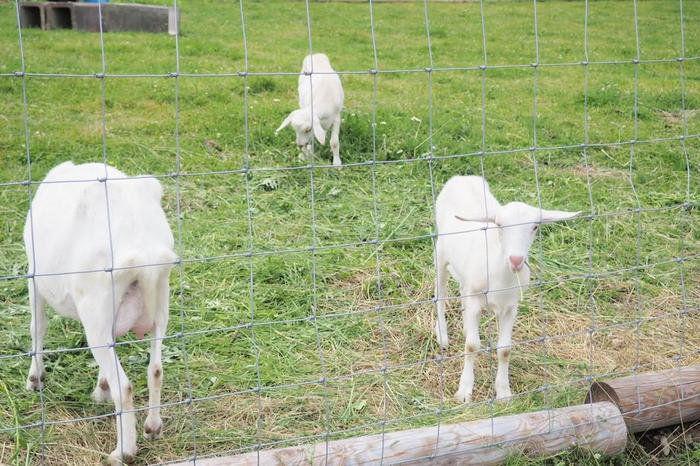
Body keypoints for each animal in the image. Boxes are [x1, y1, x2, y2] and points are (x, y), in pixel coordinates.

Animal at [24, 162, 178, 464]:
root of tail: (143, 255)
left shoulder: (34, 277)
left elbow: (38, 327)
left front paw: (35, 379)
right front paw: (101, 387)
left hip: (95, 309)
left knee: (125, 387)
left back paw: (123, 452)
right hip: (160, 305)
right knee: (155, 369)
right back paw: (153, 427)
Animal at [438, 177, 580, 402]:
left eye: (535, 227)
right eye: (499, 225)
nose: (516, 260)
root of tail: (462, 177)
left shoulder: (511, 307)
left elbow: (504, 350)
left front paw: (504, 392)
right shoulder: (476, 300)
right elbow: (472, 345)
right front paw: (464, 392)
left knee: (461, 292)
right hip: (440, 253)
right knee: (440, 294)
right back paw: (442, 336)